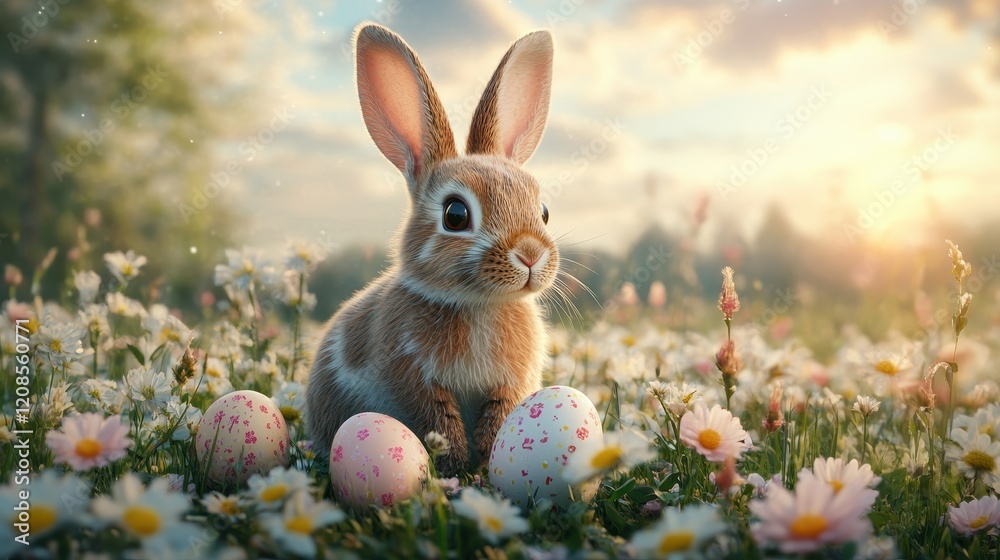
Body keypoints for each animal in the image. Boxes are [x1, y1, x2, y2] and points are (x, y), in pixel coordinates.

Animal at [306, 23, 558, 476]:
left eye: (543, 211)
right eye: (455, 214)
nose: (530, 254)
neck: (479, 304)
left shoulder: (510, 384)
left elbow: (499, 418)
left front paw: (485, 464)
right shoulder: (414, 379)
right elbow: (439, 421)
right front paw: (458, 467)